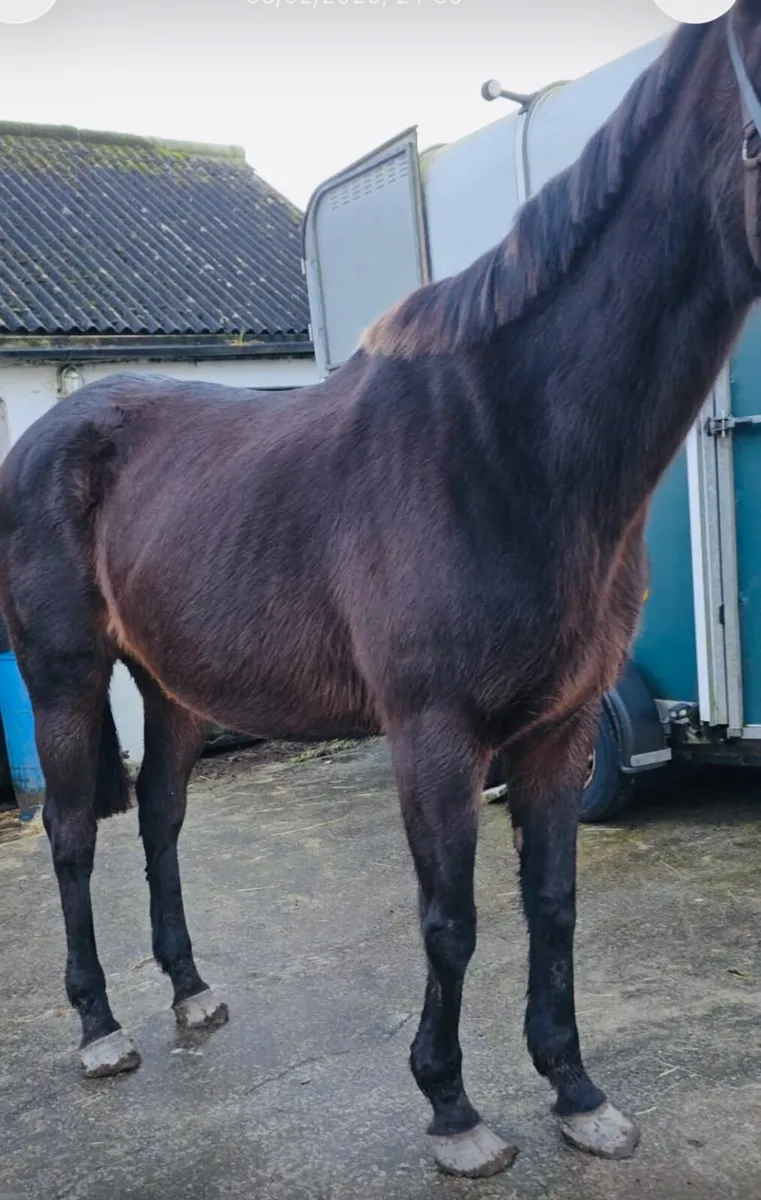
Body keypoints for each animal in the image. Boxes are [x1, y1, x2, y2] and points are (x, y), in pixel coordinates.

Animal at [2, 4, 761, 1180]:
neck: (508, 445)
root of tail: (49, 434)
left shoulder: (559, 728)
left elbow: (553, 904)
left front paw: (575, 1090)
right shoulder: (434, 733)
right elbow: (449, 920)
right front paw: (452, 1110)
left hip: (172, 687)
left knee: (163, 821)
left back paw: (191, 991)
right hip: (65, 677)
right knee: (75, 833)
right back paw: (100, 1029)